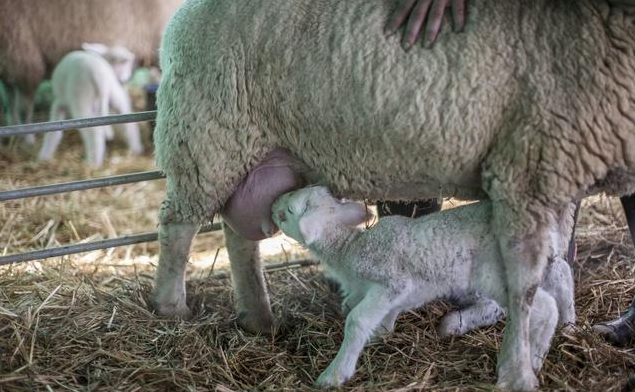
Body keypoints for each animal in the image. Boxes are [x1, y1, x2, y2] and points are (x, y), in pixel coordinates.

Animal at [270, 186, 580, 386]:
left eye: (288, 211)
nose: (272, 206)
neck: (348, 248)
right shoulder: (395, 294)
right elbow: (385, 318)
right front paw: (381, 334)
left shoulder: (392, 281)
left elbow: (357, 319)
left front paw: (335, 373)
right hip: (543, 256)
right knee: (562, 276)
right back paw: (569, 326)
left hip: (495, 273)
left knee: (542, 306)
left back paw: (535, 357)